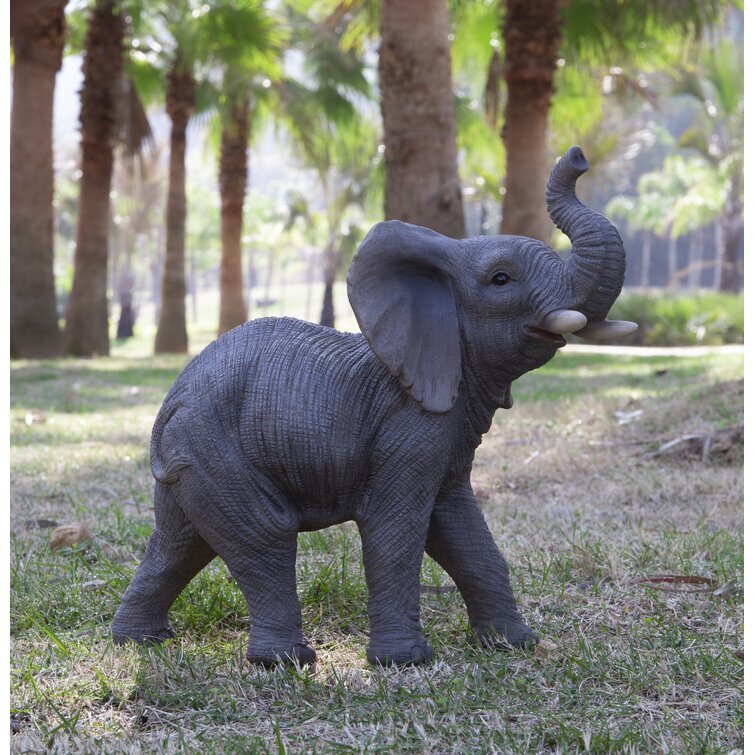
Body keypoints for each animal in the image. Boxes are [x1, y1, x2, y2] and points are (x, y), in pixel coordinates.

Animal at [112, 146, 636, 666]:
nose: (579, 156)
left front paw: (513, 644)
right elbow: (396, 528)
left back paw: (140, 641)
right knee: (265, 533)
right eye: (501, 279)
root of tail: (171, 402)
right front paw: (404, 663)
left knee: (179, 542)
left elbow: (459, 526)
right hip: (213, 448)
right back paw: (283, 662)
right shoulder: (407, 422)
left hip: (191, 460)